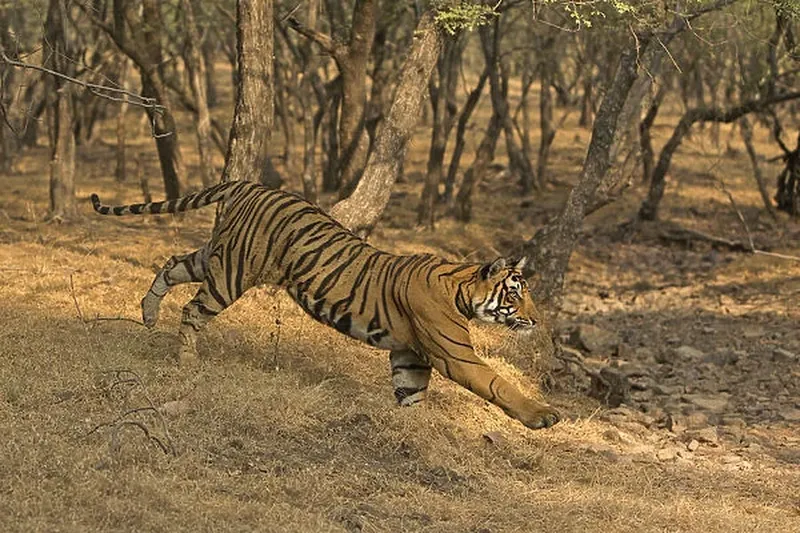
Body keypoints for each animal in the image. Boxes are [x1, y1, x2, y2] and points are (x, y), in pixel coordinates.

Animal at [89, 181, 564, 430]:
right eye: (516, 293)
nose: (535, 320)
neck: (462, 289)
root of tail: (248, 182)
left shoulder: (409, 354)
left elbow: (411, 393)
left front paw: (409, 432)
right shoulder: (455, 355)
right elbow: (498, 383)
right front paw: (542, 414)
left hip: (216, 256)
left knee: (171, 265)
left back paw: (148, 314)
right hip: (233, 273)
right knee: (192, 310)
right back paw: (187, 360)